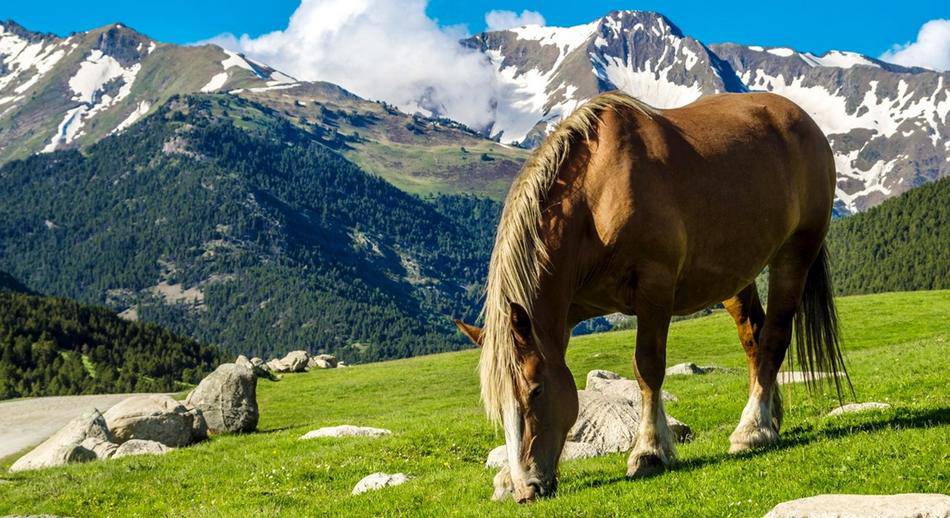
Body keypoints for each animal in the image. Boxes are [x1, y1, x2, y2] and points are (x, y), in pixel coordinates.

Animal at [458, 91, 852, 506]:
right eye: (497, 404)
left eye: (535, 390)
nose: (526, 490)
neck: (597, 198)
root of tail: (802, 120)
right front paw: (505, 477)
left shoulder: (655, 290)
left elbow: (648, 368)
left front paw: (648, 451)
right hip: (736, 276)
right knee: (753, 338)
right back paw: (769, 418)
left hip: (794, 254)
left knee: (774, 337)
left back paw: (752, 430)